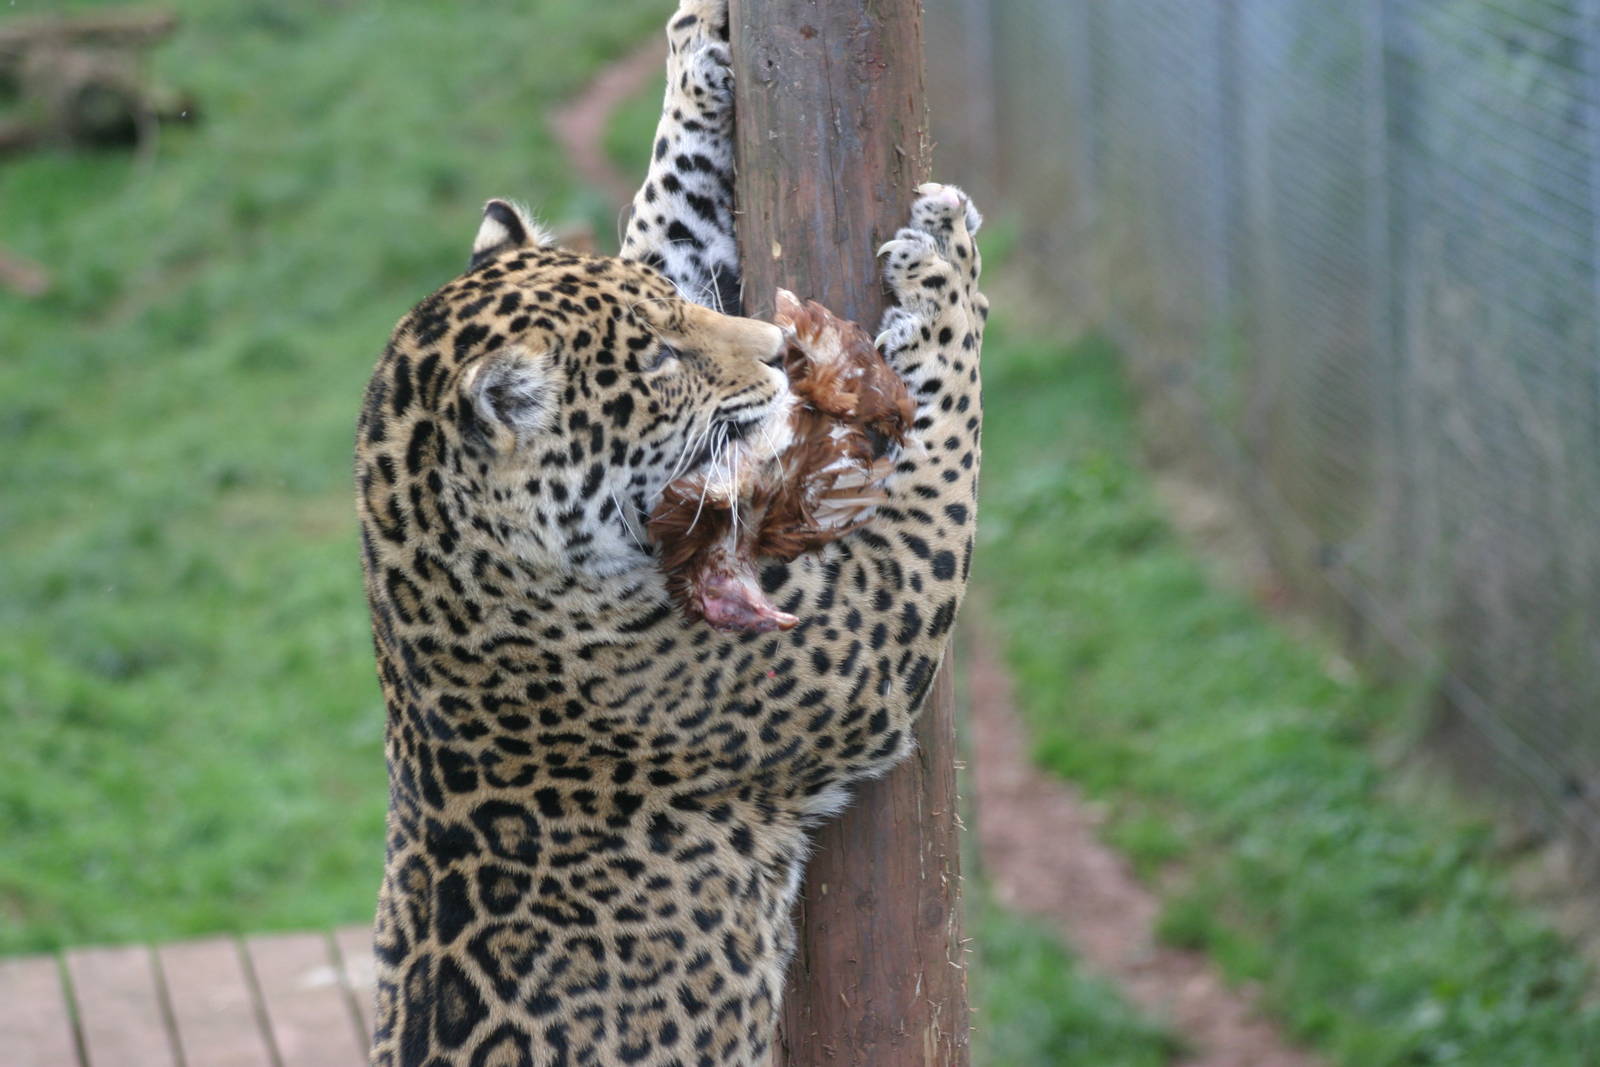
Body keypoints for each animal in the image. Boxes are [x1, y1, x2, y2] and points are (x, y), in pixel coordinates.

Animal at [353, 2, 987, 1063]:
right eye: (656, 360)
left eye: (678, 311)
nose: (775, 350)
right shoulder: (865, 631)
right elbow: (944, 440)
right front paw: (945, 275)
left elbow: (672, 212)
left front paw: (698, 44)